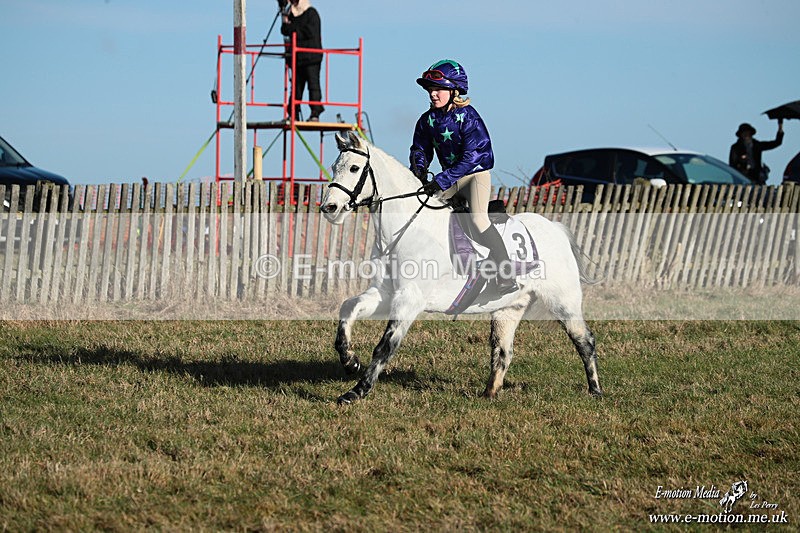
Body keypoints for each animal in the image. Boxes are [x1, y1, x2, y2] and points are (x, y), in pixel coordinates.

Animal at [320, 131, 602, 405]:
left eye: (354, 168)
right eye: (334, 167)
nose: (329, 208)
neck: (407, 229)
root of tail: (556, 227)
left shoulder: (410, 300)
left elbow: (385, 347)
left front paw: (356, 391)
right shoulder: (385, 294)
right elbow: (348, 308)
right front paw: (349, 360)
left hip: (563, 301)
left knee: (584, 341)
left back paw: (596, 390)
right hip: (509, 308)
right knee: (503, 351)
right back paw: (489, 394)